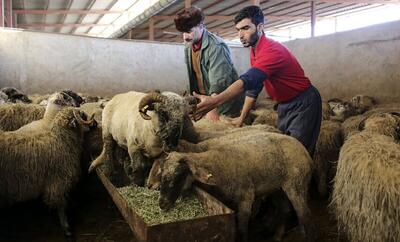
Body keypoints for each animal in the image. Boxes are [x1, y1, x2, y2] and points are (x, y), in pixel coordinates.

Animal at [0, 108, 95, 236]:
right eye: (82, 114)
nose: (95, 123)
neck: (61, 141)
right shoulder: (59, 181)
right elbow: (61, 205)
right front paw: (66, 228)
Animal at [156, 130, 316, 242]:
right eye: (162, 173)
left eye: (178, 175)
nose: (162, 204)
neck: (219, 163)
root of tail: (304, 150)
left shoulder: (246, 195)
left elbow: (242, 226)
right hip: (277, 188)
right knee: (285, 209)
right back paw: (277, 236)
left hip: (296, 184)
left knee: (305, 215)